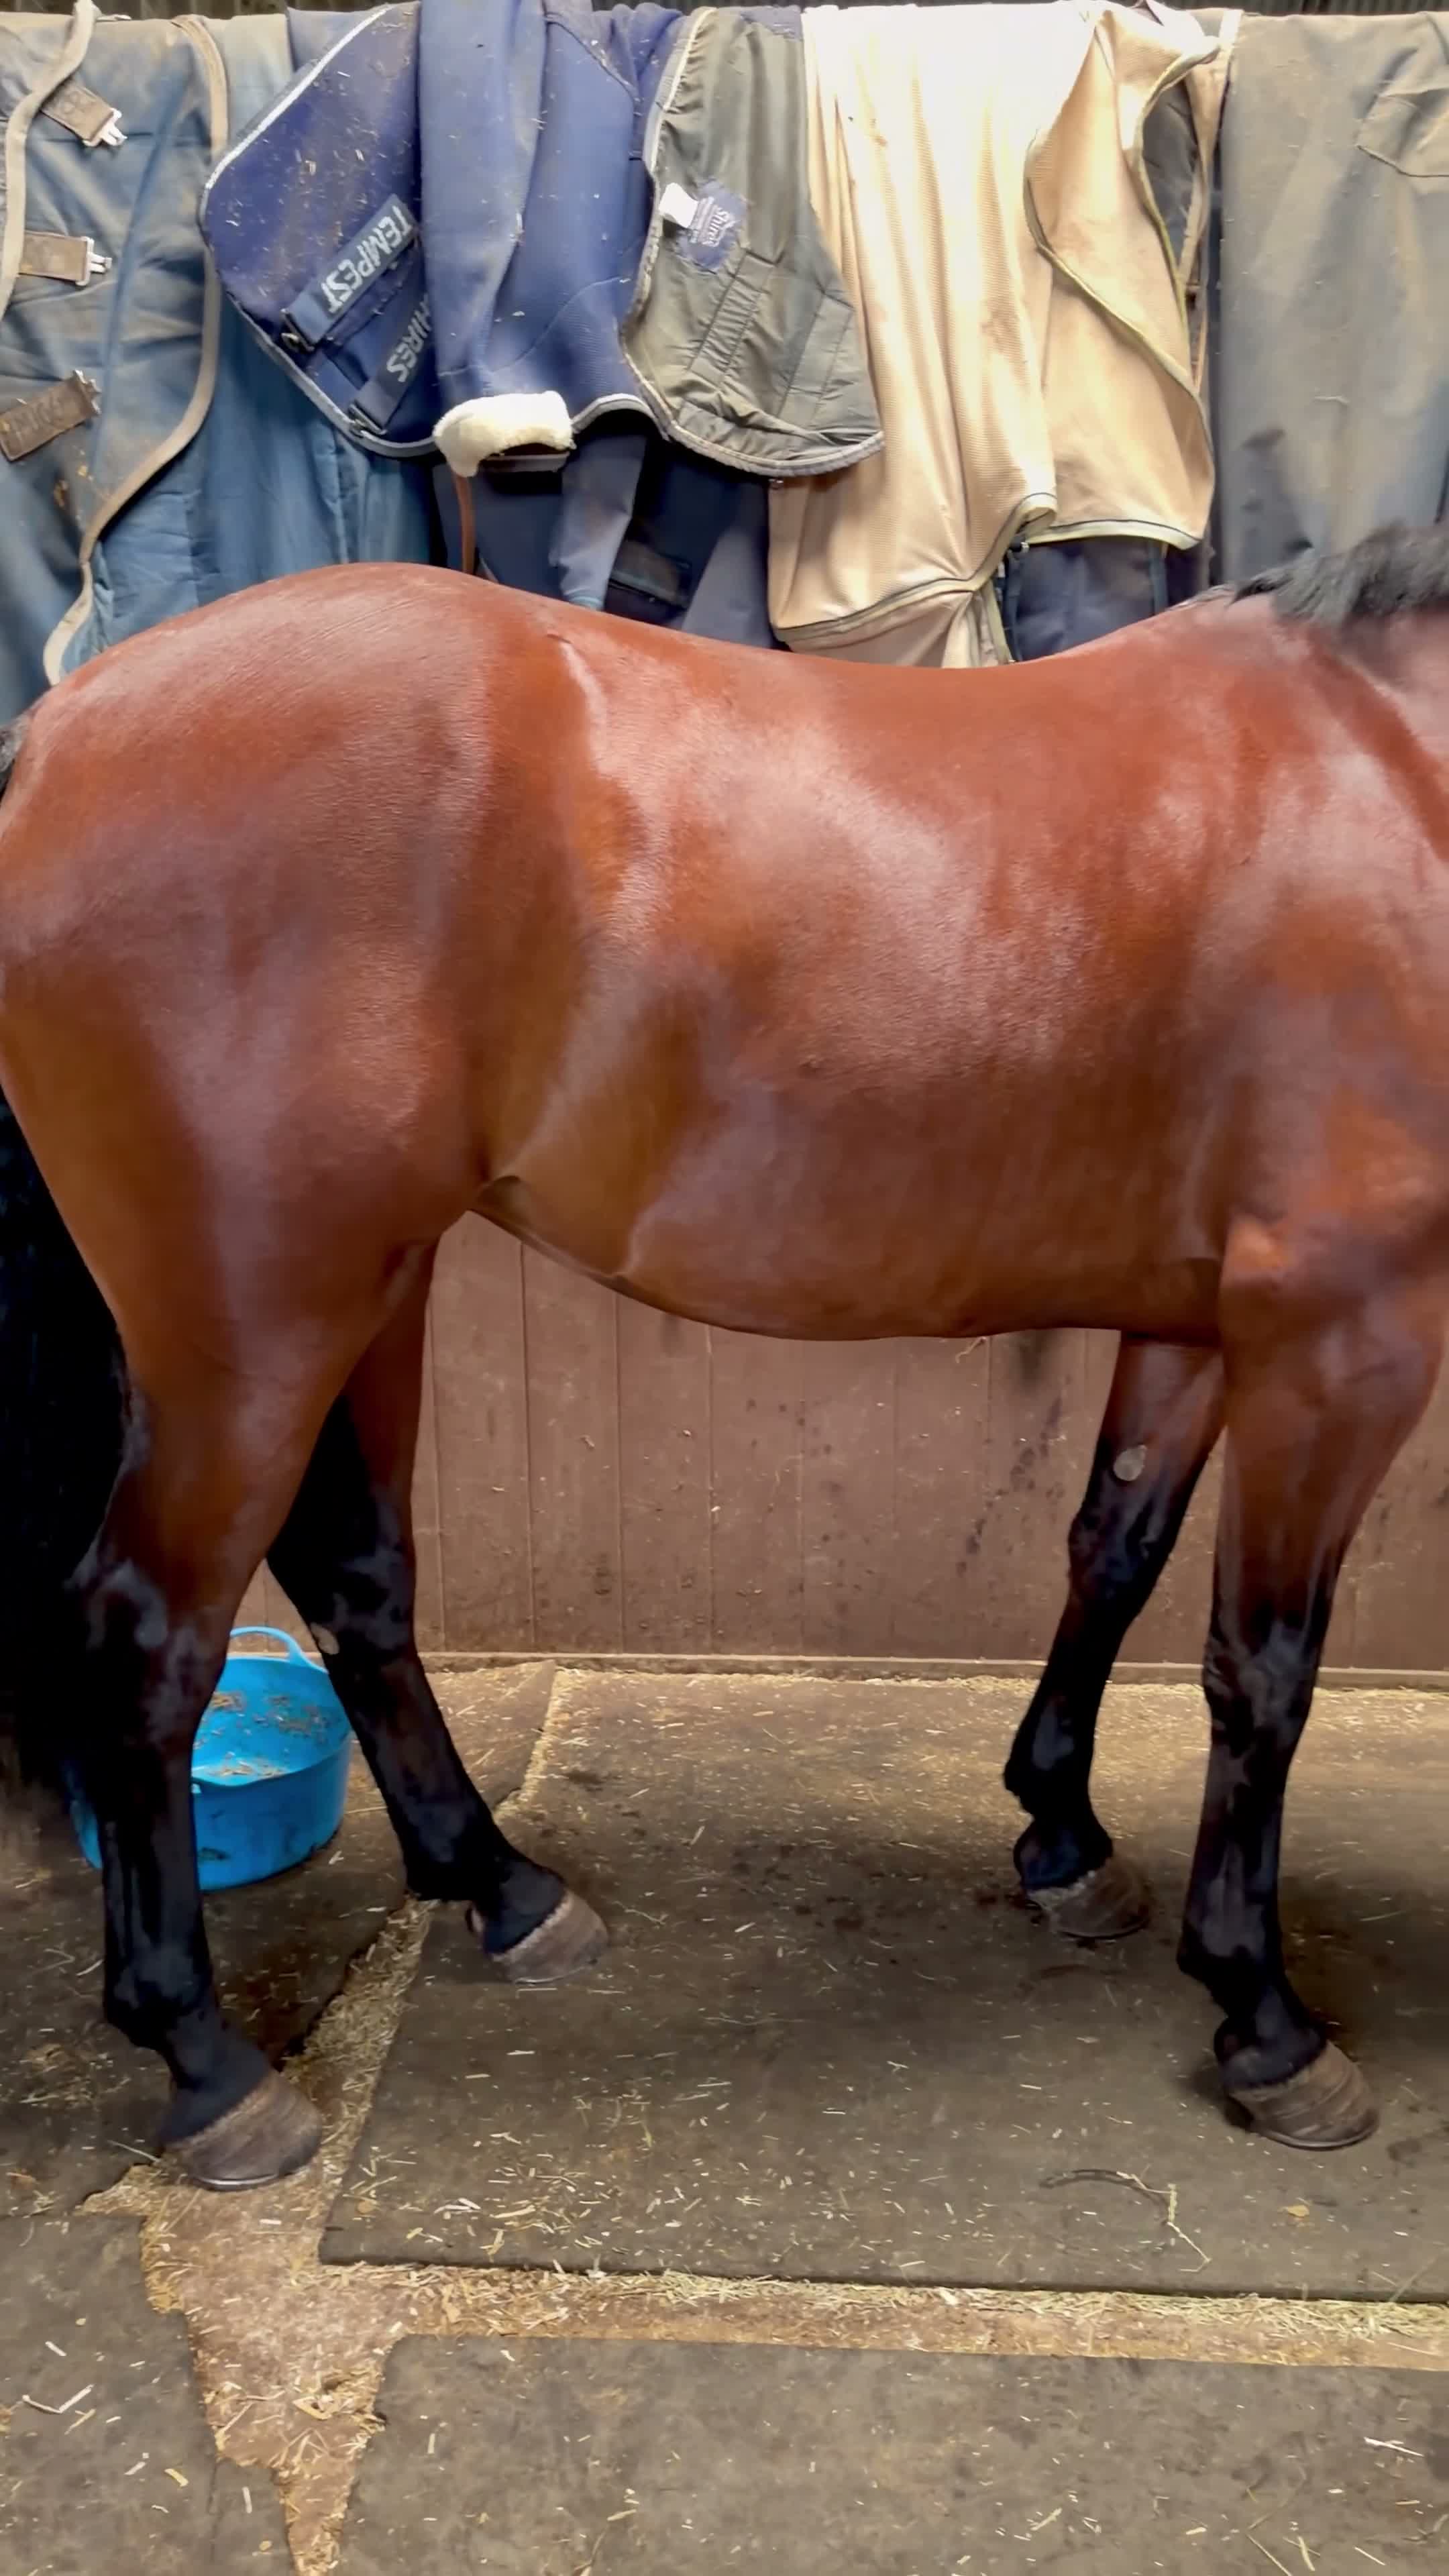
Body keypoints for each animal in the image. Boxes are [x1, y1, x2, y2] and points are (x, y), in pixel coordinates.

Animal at [0, 521, 1445, 2190]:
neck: (1388, 766)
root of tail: (55, 735)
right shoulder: (1344, 1338)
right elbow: (1262, 1667)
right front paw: (1265, 2018)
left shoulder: (1196, 1321)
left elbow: (1115, 1553)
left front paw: (1065, 1840)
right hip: (251, 1327)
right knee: (148, 1636)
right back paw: (206, 2058)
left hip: (363, 1287)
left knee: (358, 1577)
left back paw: (502, 1887)